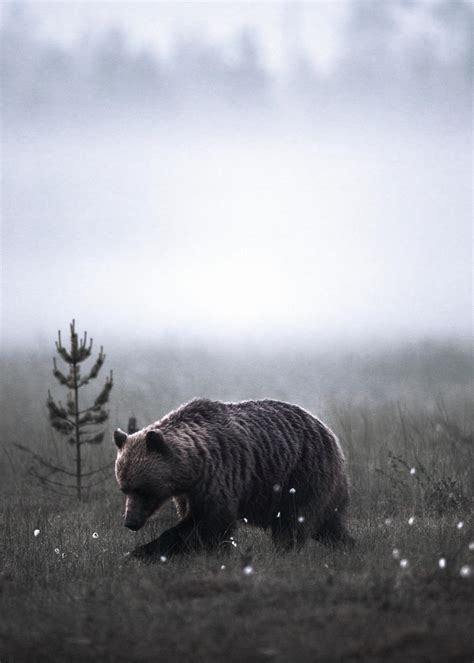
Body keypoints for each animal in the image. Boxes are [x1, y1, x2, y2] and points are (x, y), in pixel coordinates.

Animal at [114, 398, 353, 560]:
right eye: (124, 488)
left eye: (143, 489)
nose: (130, 522)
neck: (191, 467)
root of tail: (330, 433)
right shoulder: (187, 493)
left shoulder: (218, 476)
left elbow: (209, 522)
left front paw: (141, 551)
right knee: (328, 523)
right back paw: (349, 545)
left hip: (301, 476)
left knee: (294, 521)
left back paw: (284, 552)